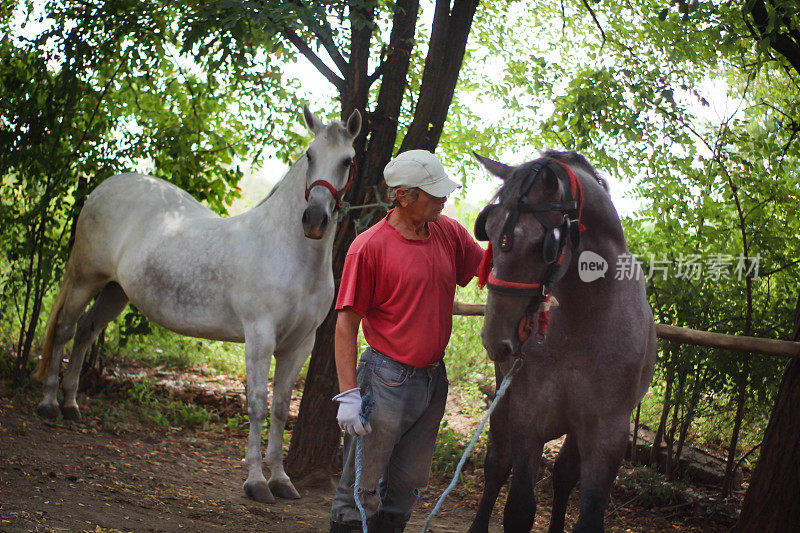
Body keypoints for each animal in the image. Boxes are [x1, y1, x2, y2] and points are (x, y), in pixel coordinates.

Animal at [33, 104, 360, 502]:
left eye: (347, 160)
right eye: (310, 155)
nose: (314, 220)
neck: (290, 254)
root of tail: (104, 187)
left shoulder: (300, 344)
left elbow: (283, 409)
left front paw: (281, 480)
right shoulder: (259, 337)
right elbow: (258, 404)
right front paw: (255, 481)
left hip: (115, 291)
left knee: (85, 332)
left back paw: (71, 405)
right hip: (85, 278)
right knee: (65, 329)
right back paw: (50, 404)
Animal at [468, 151, 656, 532]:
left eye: (542, 244)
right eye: (488, 230)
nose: (496, 339)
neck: (584, 321)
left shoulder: (607, 434)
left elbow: (587, 512)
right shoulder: (528, 416)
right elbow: (519, 509)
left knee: (564, 476)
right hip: (504, 397)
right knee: (497, 464)